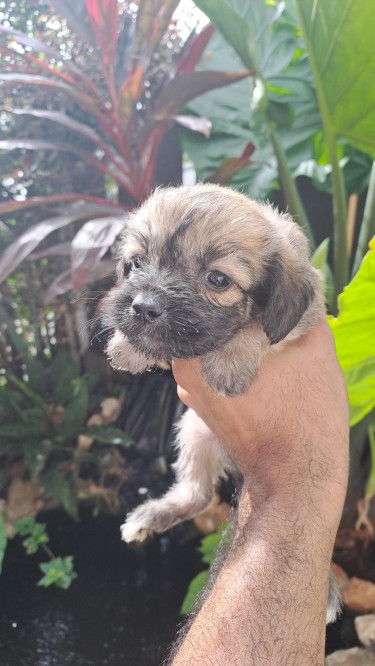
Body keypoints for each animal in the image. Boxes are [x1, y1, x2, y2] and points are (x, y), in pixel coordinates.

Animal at [101, 183, 342, 624]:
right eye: (137, 263)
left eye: (217, 279)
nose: (142, 307)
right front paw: (128, 346)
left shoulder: (305, 319)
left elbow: (257, 327)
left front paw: (230, 363)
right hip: (194, 431)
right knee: (196, 494)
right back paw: (150, 516)